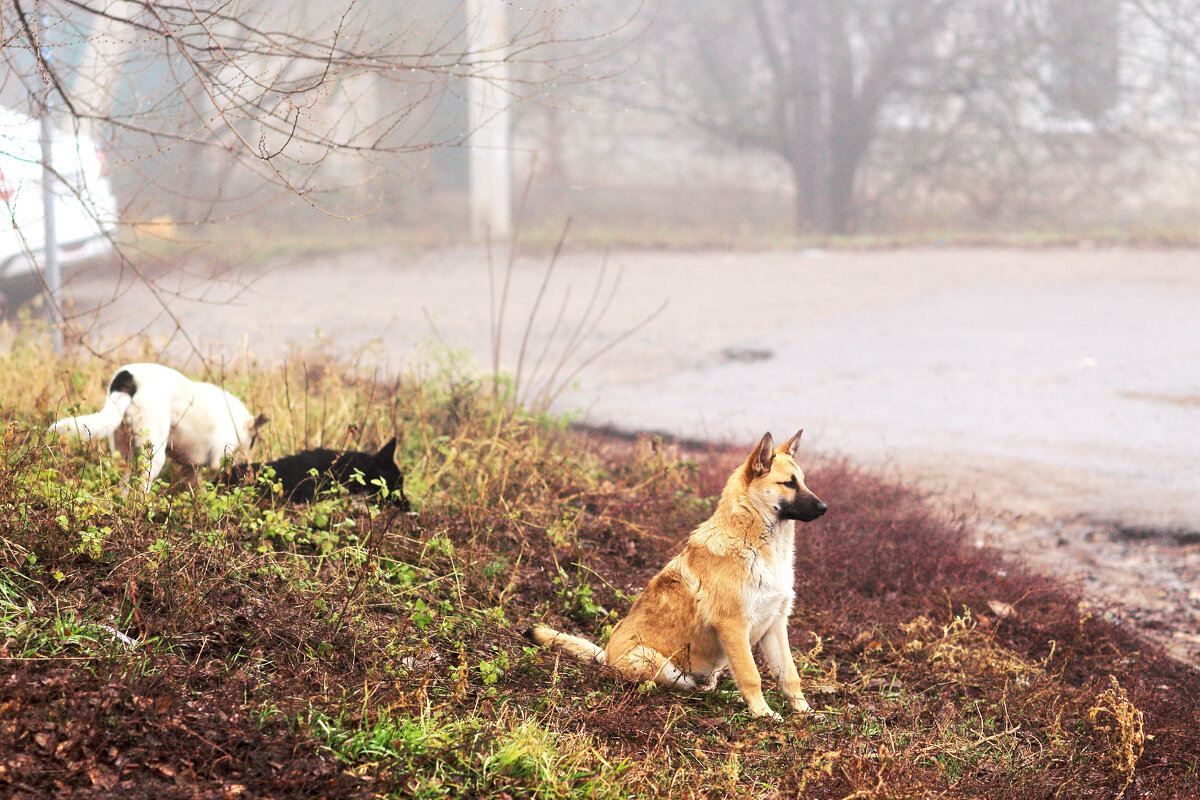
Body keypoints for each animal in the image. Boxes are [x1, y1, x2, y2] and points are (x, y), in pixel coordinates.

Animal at [525, 431, 825, 719]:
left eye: (803, 481)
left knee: (708, 686)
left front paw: (804, 711)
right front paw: (763, 714)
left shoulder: (775, 625)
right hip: (654, 661)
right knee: (687, 686)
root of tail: (606, 656)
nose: (825, 508)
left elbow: (790, 676)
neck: (760, 545)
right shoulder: (734, 625)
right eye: (789, 483)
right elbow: (751, 676)